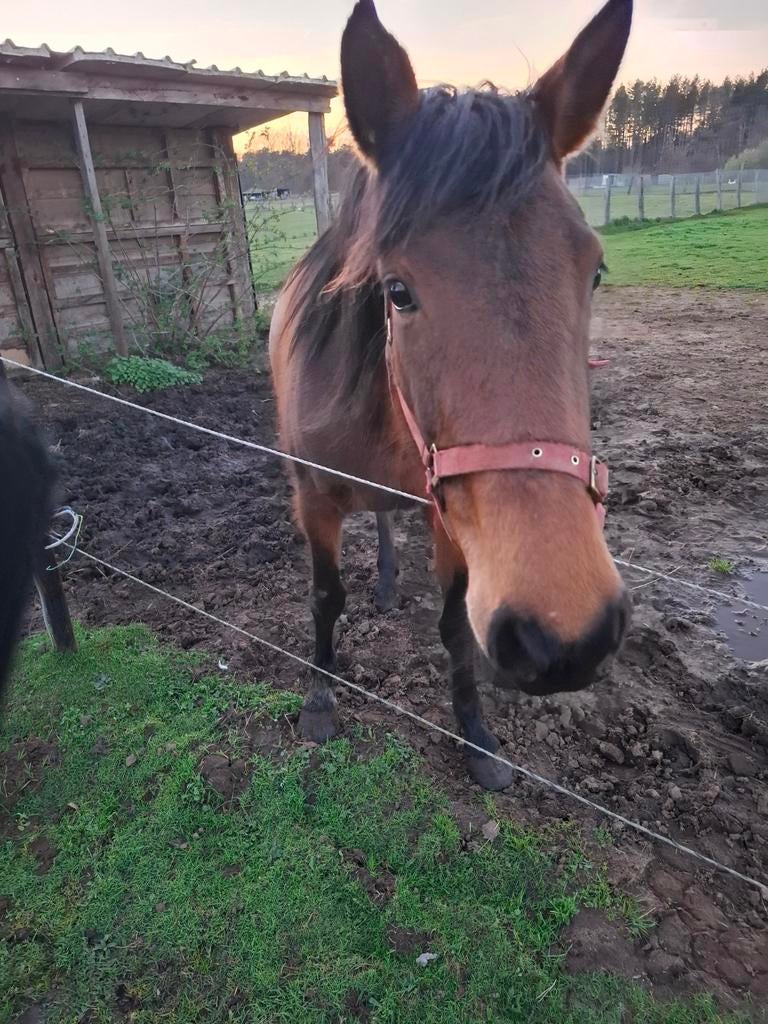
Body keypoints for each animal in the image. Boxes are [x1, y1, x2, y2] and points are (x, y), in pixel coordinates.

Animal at [270, 0, 633, 789]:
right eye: (397, 290)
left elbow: (455, 629)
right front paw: (319, 700)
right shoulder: (313, 499)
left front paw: (475, 736)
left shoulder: (454, 518)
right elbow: (324, 598)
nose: (568, 637)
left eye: (594, 272)